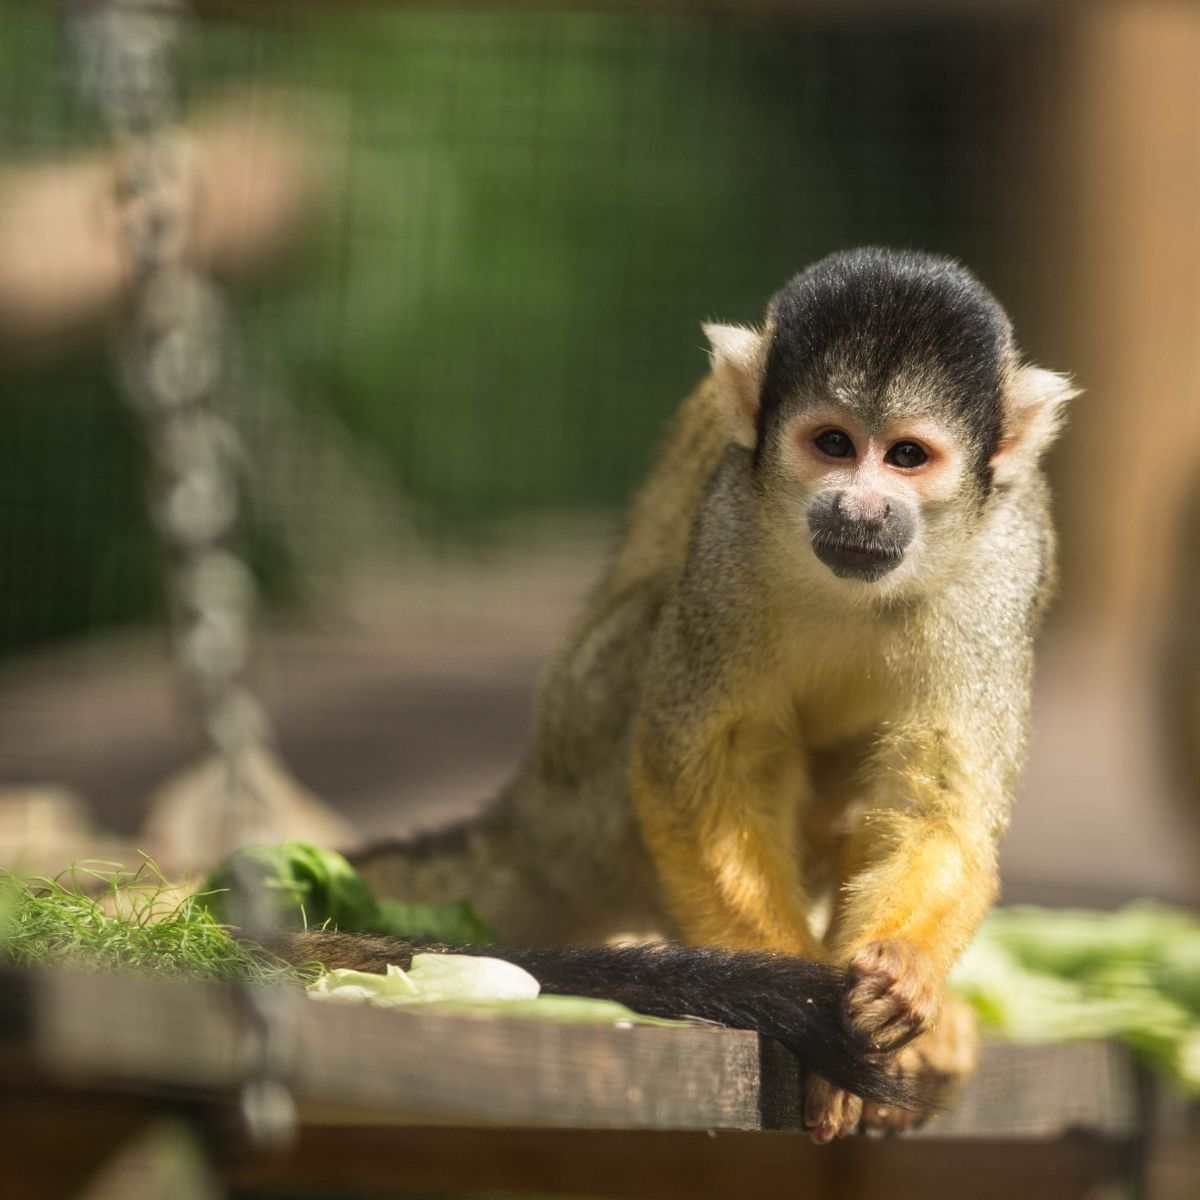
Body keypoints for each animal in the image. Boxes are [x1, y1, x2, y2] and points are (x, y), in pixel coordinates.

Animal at [343, 248, 1075, 1137]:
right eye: (833, 443)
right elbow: (702, 770)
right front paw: (808, 1008)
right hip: (582, 769)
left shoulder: (1001, 562)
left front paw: (902, 974)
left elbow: (939, 795)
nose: (862, 507)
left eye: (907, 456)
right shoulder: (730, 526)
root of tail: (532, 808)